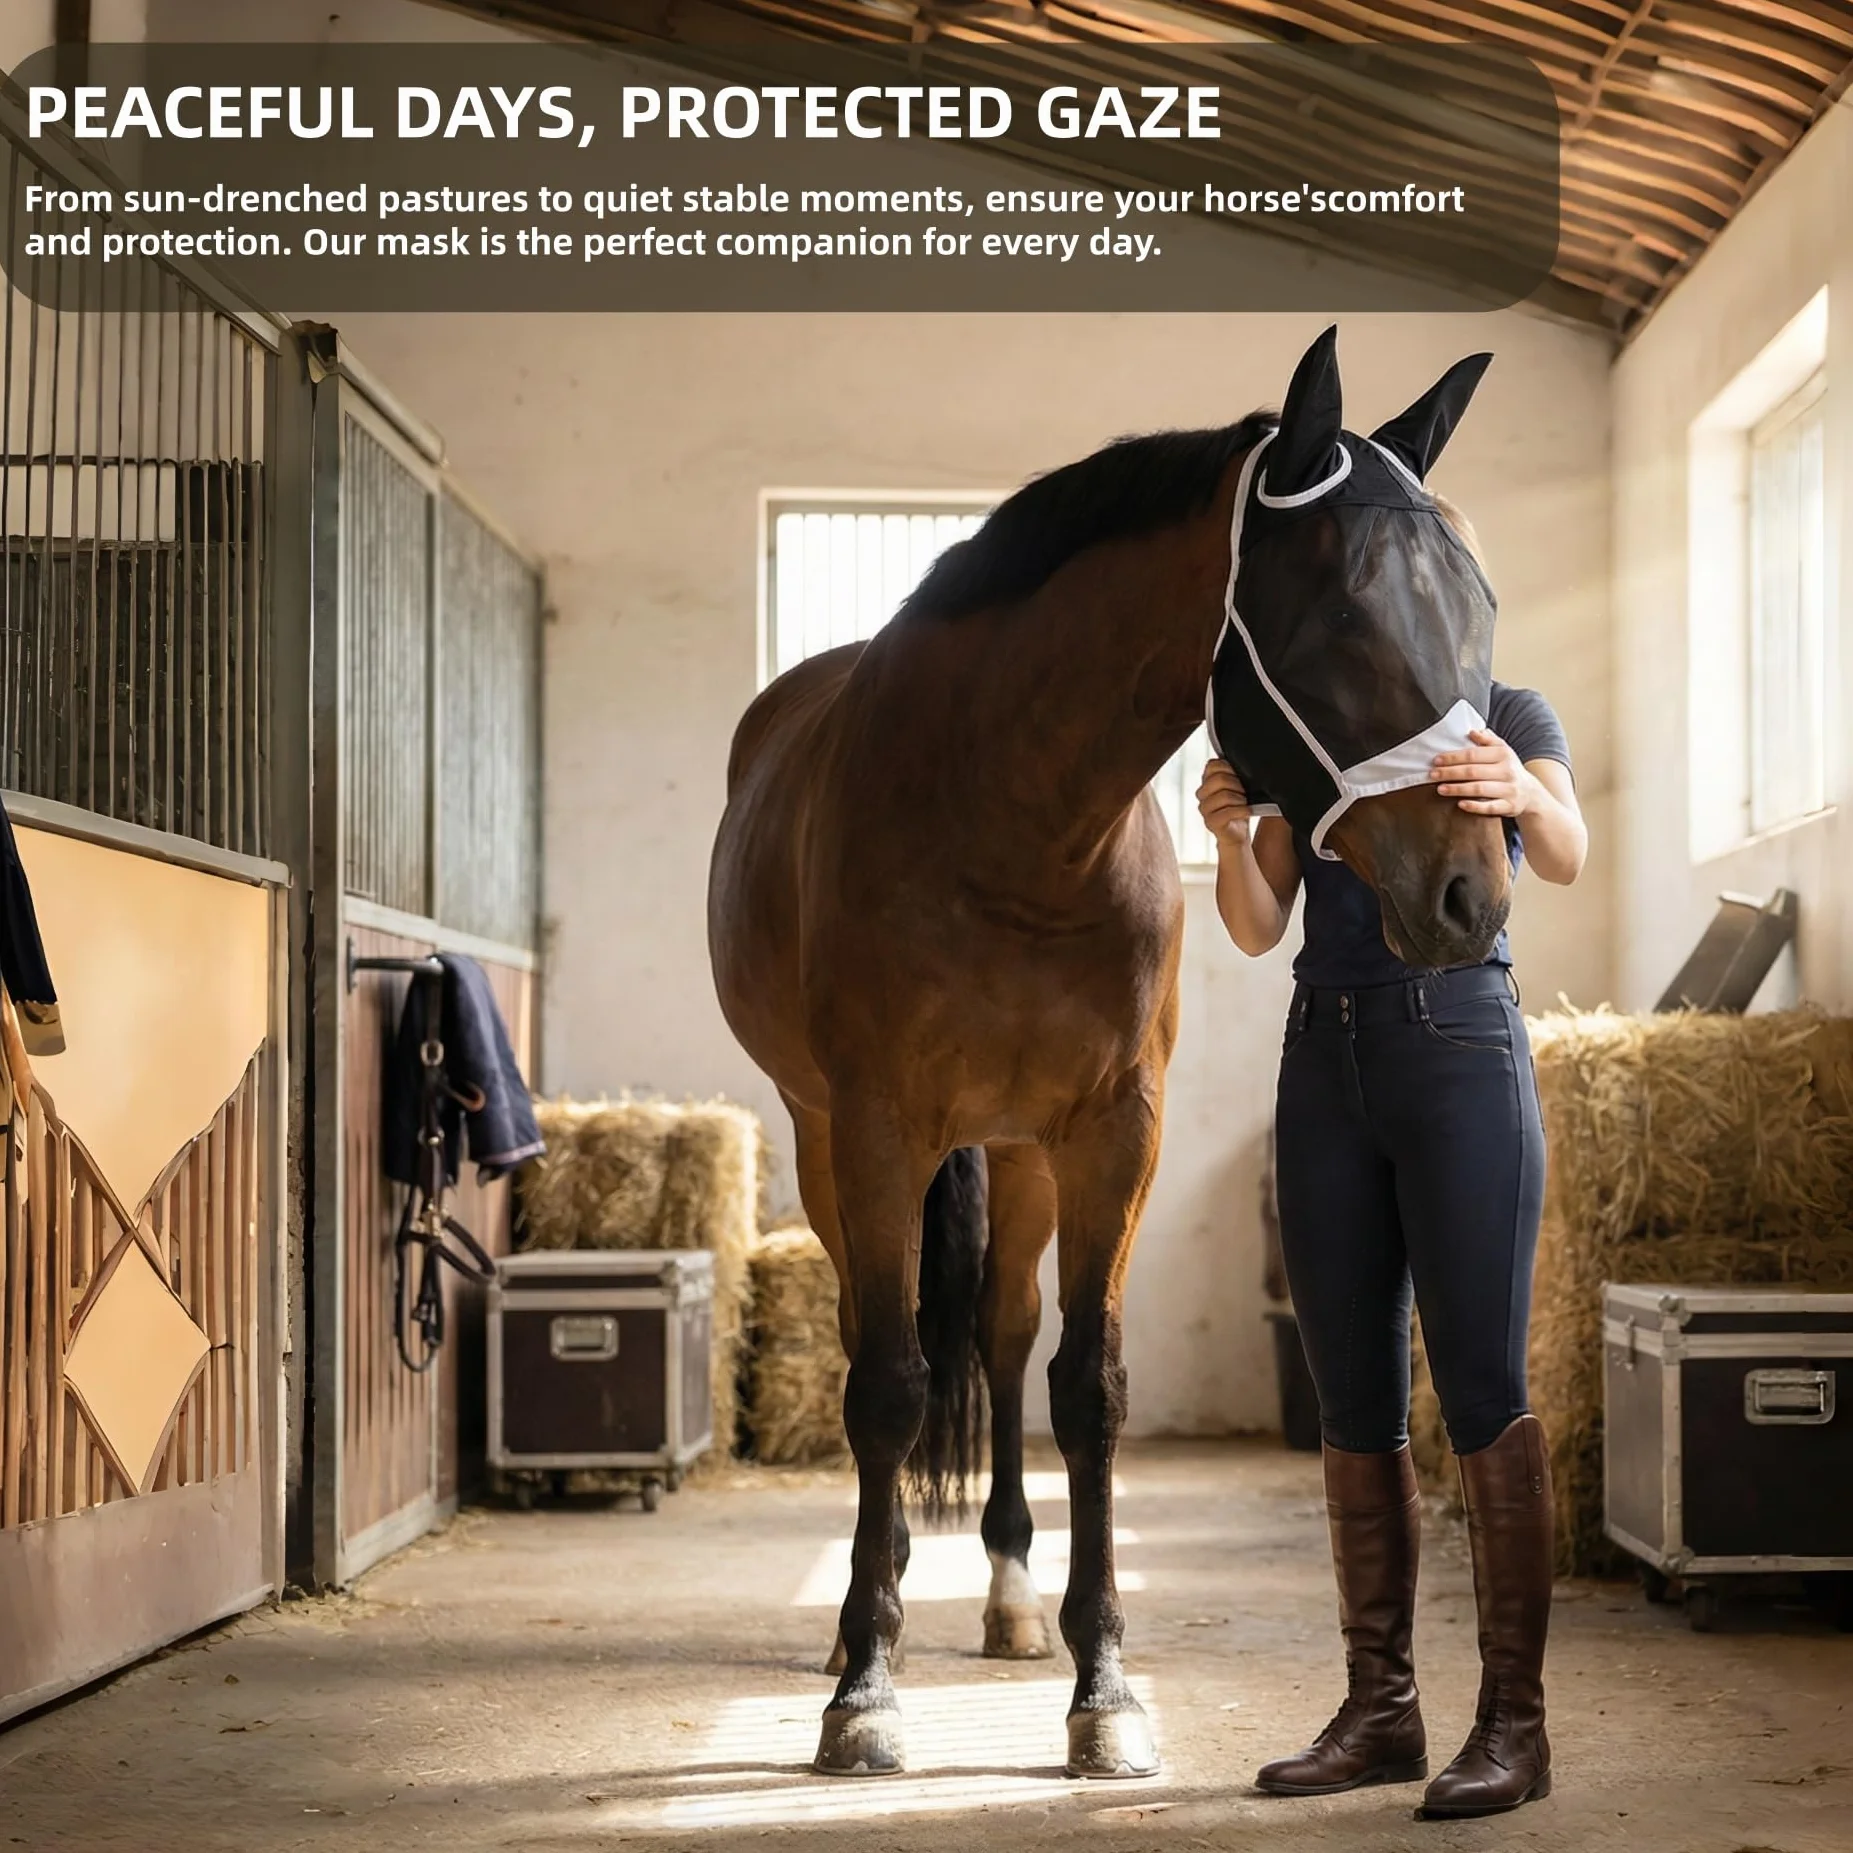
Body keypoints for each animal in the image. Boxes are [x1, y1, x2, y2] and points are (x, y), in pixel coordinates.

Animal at [706, 325, 1510, 1780]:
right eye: (1344, 617)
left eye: (1474, 606)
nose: (1471, 893)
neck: (1011, 825)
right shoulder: (875, 1125)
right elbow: (890, 1385)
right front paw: (866, 1690)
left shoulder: (1110, 1129)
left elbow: (1085, 1386)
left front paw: (1104, 1692)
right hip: (827, 1137)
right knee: (876, 1342)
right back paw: (861, 1616)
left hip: (1021, 1150)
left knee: (1003, 1334)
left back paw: (1008, 1599)